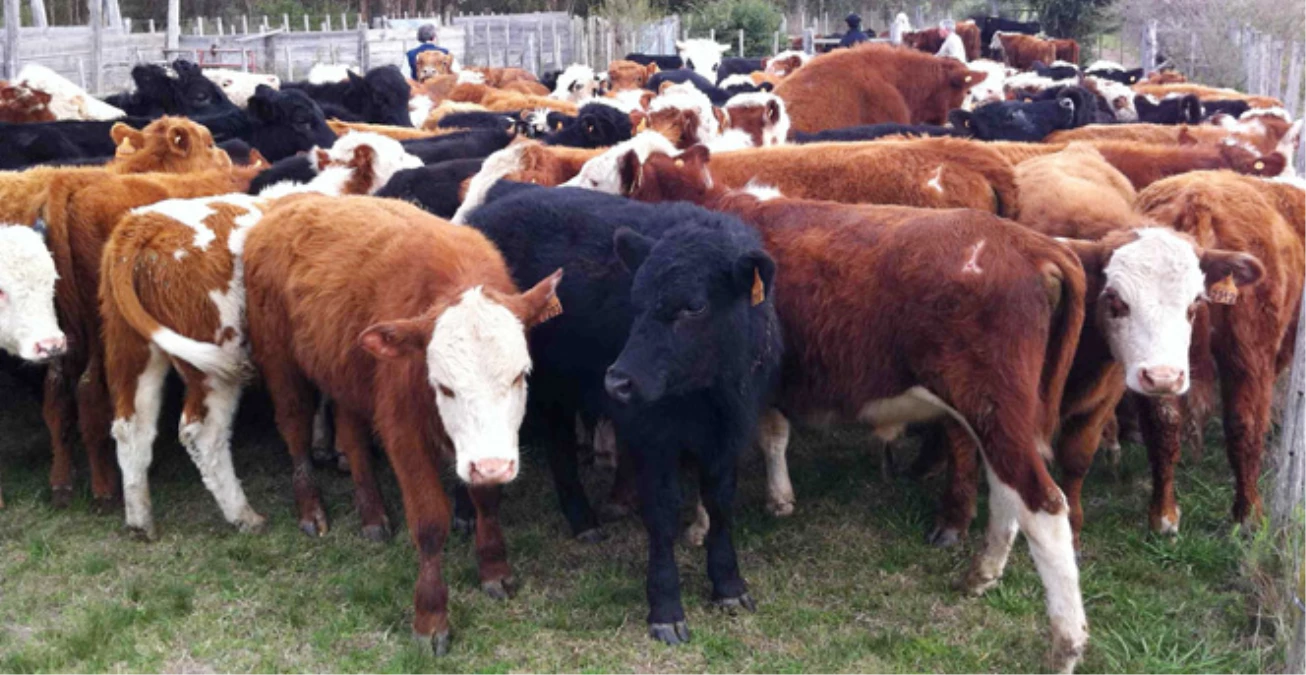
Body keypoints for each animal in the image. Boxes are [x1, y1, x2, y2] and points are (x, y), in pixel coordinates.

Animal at [245, 191, 561, 650]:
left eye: (520, 375)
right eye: (444, 387)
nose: (492, 466)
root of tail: (288, 200)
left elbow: (486, 501)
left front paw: (494, 569)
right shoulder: (404, 432)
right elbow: (429, 522)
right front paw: (430, 617)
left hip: (346, 371)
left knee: (352, 436)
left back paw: (372, 514)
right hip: (280, 361)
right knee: (295, 428)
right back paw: (311, 508)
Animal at [464, 181, 778, 644]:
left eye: (695, 307)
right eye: (636, 300)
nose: (618, 382)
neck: (708, 395)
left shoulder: (729, 433)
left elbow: (721, 503)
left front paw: (729, 585)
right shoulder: (652, 437)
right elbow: (662, 513)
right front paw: (665, 607)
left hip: (556, 387)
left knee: (559, 444)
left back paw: (582, 519)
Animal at [616, 147, 1086, 673]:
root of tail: (1030, 244)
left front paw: (700, 525)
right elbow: (773, 434)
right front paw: (779, 496)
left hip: (992, 405)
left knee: (1044, 506)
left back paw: (1065, 645)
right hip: (998, 415)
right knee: (1006, 490)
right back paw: (982, 572)